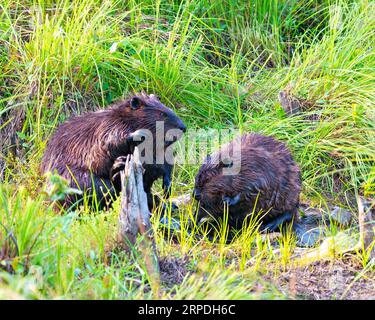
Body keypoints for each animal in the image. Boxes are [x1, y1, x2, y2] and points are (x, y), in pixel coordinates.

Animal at [41, 92, 187, 211]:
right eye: (162, 114)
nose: (183, 127)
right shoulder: (107, 125)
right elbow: (108, 142)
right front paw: (138, 134)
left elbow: (165, 161)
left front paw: (167, 186)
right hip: (74, 179)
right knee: (106, 191)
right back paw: (118, 169)